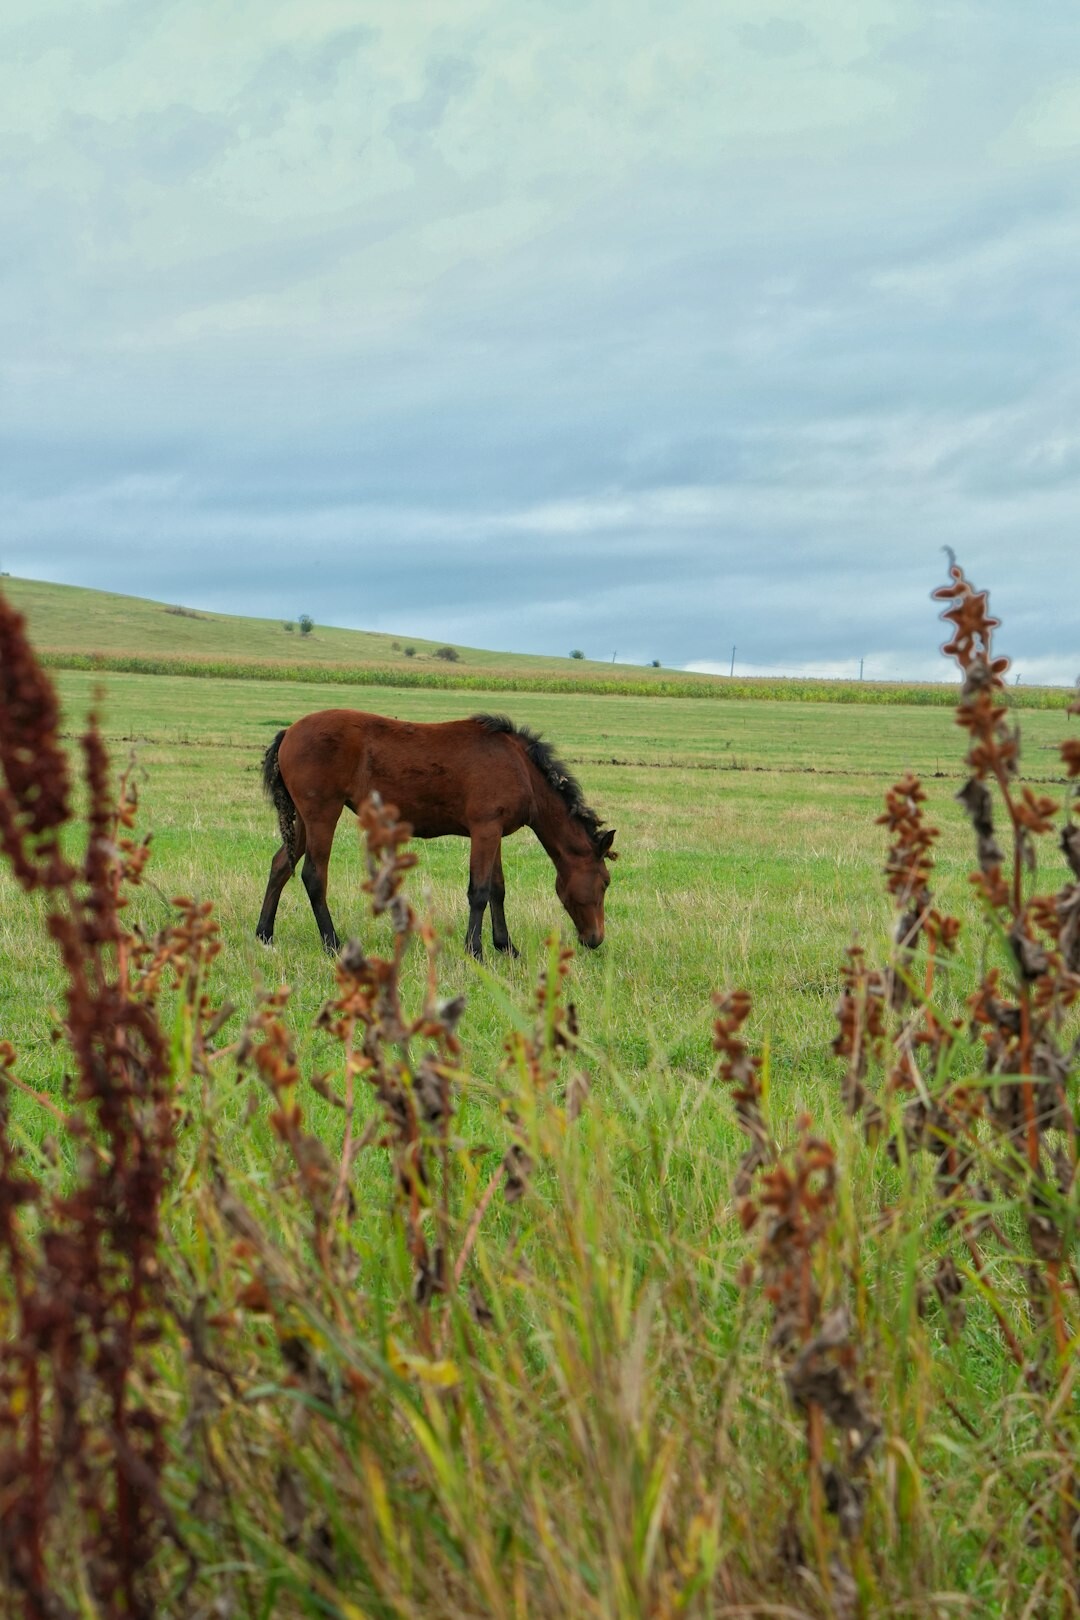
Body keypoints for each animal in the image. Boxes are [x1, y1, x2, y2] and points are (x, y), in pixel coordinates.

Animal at [255, 709, 617, 958]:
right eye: (605, 882)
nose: (595, 939)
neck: (520, 768)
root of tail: (289, 732)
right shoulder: (485, 828)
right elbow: (480, 891)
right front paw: (475, 951)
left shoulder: (494, 832)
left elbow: (498, 889)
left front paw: (506, 946)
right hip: (322, 814)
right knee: (313, 875)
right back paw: (333, 943)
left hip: (305, 820)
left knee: (280, 865)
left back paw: (264, 934)